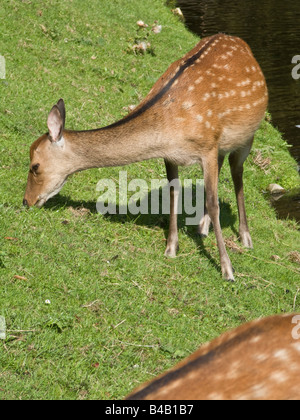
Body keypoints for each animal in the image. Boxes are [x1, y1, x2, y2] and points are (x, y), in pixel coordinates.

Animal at [22, 34, 268, 280]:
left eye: (35, 166)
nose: (26, 201)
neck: (170, 129)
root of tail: (242, 44)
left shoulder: (207, 145)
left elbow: (213, 202)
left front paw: (227, 269)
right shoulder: (173, 155)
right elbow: (173, 193)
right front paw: (171, 248)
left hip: (247, 137)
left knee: (237, 173)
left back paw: (245, 237)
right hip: (222, 147)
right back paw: (202, 227)